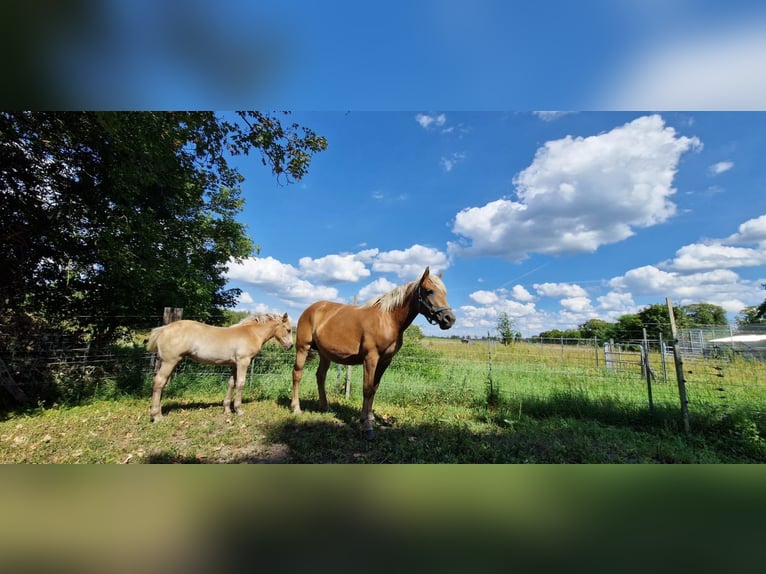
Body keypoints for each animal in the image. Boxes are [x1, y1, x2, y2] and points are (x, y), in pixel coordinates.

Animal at [148, 316, 294, 424]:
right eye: (288, 330)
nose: (291, 346)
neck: (251, 333)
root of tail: (164, 328)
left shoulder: (234, 364)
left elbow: (231, 383)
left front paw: (227, 409)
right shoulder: (243, 362)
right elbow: (240, 383)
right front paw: (238, 410)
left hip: (174, 362)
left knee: (163, 384)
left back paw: (159, 410)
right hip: (169, 362)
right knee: (159, 382)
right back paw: (157, 416)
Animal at [292, 268, 452, 438]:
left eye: (444, 293)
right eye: (429, 291)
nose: (449, 319)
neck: (388, 319)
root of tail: (311, 309)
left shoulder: (385, 361)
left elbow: (375, 387)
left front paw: (370, 417)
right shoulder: (371, 358)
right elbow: (367, 389)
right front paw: (366, 425)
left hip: (325, 354)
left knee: (320, 376)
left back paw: (325, 407)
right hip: (302, 348)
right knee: (297, 374)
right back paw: (296, 408)